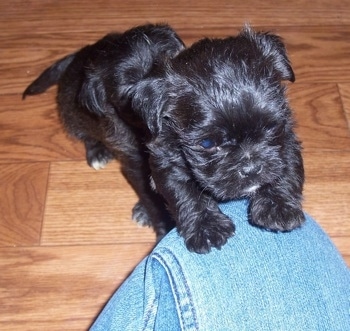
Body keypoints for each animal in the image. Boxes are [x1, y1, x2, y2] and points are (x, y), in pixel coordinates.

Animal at [23, 24, 185, 239]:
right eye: (129, 90)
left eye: (170, 62)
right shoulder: (135, 165)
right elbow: (154, 198)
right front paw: (164, 228)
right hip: (73, 114)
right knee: (87, 135)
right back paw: (97, 152)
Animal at [130, 26, 304, 254]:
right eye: (207, 144)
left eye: (271, 126)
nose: (251, 168)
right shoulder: (165, 159)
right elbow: (185, 191)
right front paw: (206, 228)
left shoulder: (286, 142)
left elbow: (286, 168)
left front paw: (278, 207)